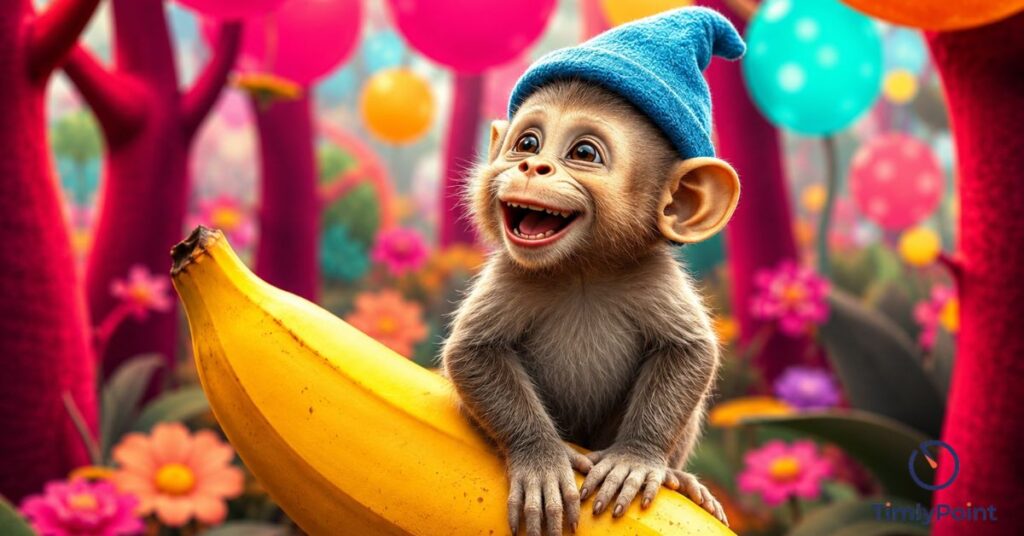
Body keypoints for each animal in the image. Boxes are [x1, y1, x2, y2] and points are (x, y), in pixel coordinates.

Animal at [440, 76, 741, 536]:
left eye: (584, 153)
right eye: (527, 143)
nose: (532, 167)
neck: (582, 269)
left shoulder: (654, 274)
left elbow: (690, 350)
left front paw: (636, 457)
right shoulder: (510, 273)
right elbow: (470, 353)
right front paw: (541, 457)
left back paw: (679, 478)